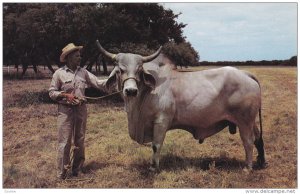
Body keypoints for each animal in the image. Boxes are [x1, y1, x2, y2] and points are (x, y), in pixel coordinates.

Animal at [95, 40, 264, 171]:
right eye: (119, 70)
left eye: (139, 70)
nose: (130, 91)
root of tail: (246, 74)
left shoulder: (161, 121)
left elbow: (156, 145)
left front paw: (153, 167)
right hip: (250, 121)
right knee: (258, 138)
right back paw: (261, 162)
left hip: (244, 121)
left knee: (248, 142)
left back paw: (248, 167)